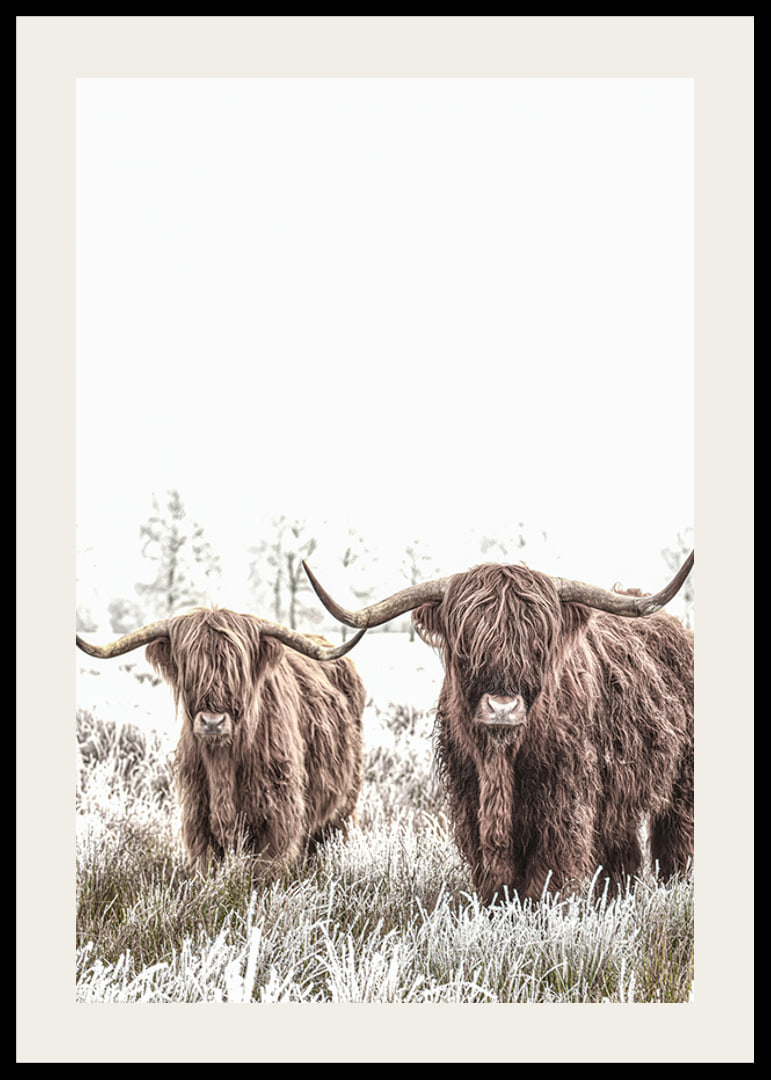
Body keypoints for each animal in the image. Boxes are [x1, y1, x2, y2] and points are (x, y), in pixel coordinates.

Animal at [76, 609, 367, 875]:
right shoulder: (197, 817)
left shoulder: (277, 817)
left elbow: (264, 872)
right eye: (189, 667)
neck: (222, 763)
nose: (212, 722)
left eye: (237, 669)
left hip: (344, 804)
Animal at [302, 552, 694, 905]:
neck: (501, 759)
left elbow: (545, 878)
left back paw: (672, 891)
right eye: (466, 645)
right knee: (622, 852)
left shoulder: (563, 807)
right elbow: (495, 880)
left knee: (675, 841)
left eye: (539, 645)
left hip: (682, 783)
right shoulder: (470, 804)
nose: (502, 708)